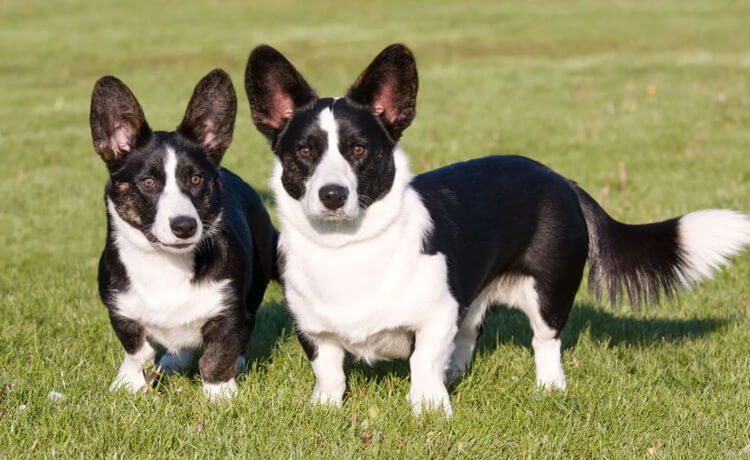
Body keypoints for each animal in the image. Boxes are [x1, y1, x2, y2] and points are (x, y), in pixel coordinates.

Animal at [91, 67, 278, 398]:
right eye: (148, 182)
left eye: (195, 179)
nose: (184, 226)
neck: (163, 262)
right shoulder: (120, 309)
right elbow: (137, 349)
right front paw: (128, 383)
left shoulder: (229, 312)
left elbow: (217, 355)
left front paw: (220, 394)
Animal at [244, 45, 748, 416]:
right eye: (304, 152)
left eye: (359, 150)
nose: (332, 195)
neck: (348, 246)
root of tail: (561, 179)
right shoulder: (314, 329)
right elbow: (329, 369)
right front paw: (324, 408)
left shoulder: (434, 316)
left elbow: (422, 362)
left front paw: (430, 409)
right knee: (469, 334)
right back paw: (456, 374)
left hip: (548, 291)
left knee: (545, 341)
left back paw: (549, 388)